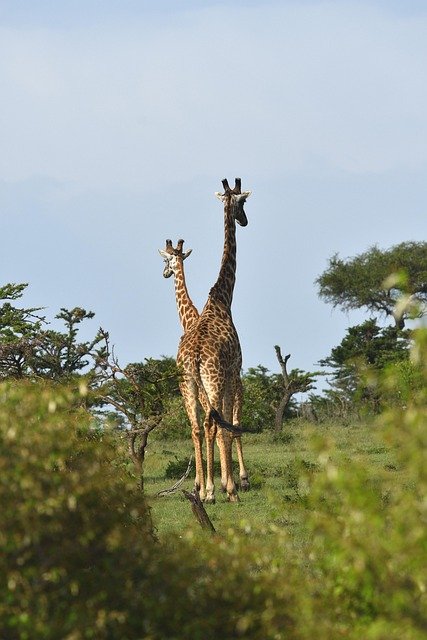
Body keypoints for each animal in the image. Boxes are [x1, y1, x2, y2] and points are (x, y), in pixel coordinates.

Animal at [166, 178, 251, 503]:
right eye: (243, 202)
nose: (244, 220)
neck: (222, 299)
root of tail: (194, 356)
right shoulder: (233, 370)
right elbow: (228, 426)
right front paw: (230, 485)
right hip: (213, 380)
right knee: (214, 424)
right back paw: (216, 491)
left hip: (187, 382)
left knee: (196, 427)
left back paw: (204, 489)